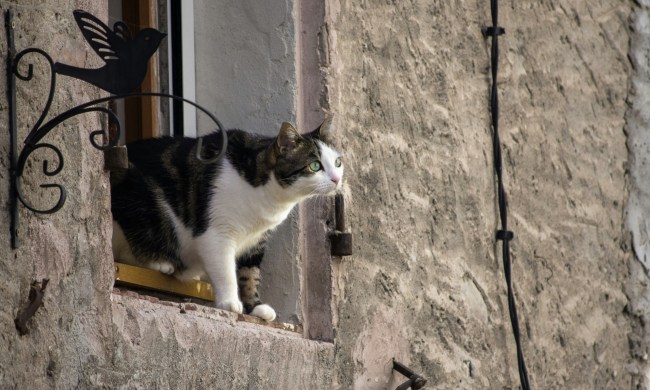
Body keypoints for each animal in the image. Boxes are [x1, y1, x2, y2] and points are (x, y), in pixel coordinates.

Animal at [110, 119, 344, 320]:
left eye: (338, 162)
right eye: (315, 166)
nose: (337, 179)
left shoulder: (257, 241)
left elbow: (251, 274)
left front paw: (255, 306)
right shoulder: (216, 232)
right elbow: (225, 269)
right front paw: (230, 302)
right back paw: (161, 262)